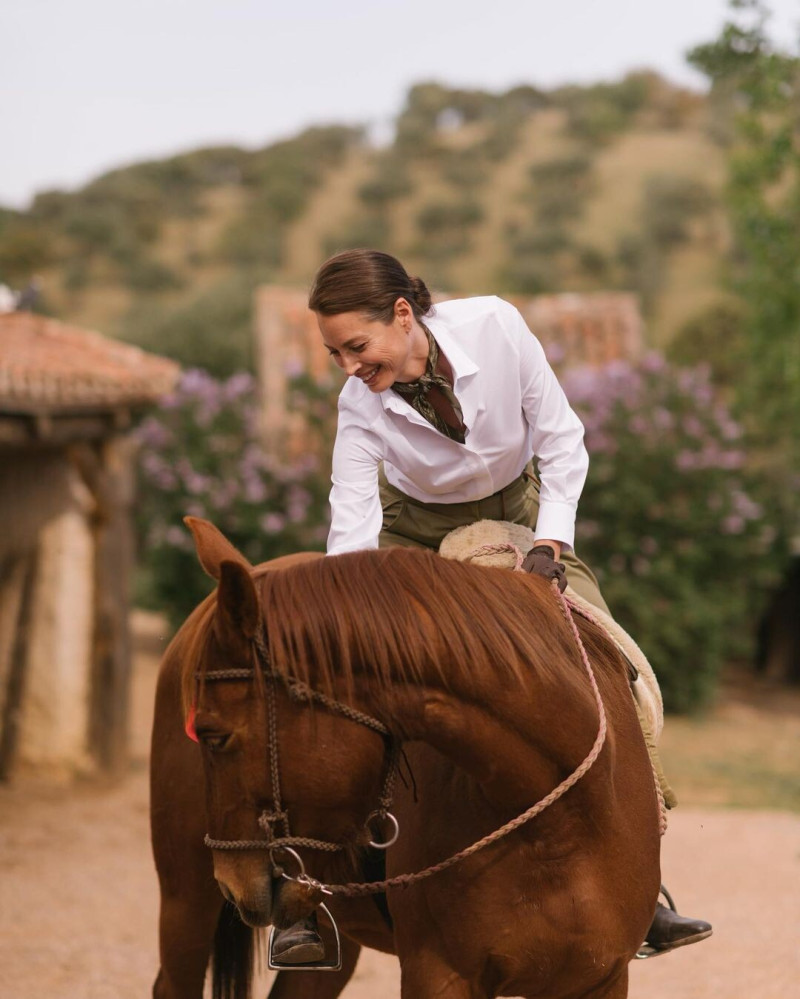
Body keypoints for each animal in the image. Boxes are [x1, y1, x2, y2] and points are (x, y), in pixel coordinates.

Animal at [150, 520, 664, 996]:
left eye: (215, 736)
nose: (233, 883)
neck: (559, 825)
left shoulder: (600, 979)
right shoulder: (439, 975)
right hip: (185, 901)